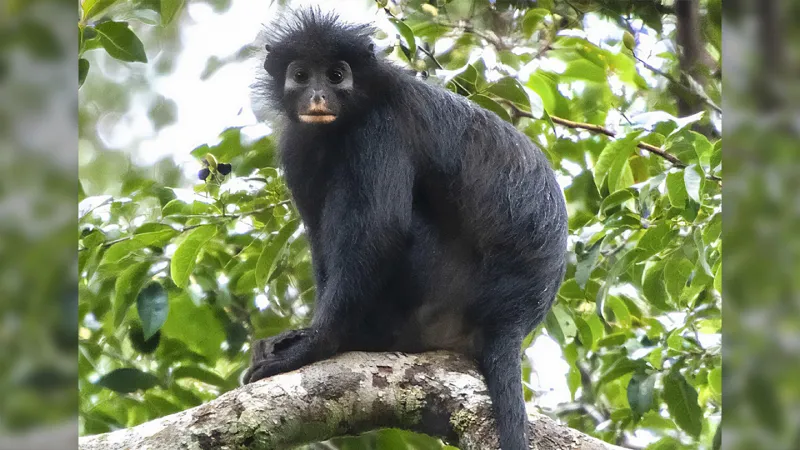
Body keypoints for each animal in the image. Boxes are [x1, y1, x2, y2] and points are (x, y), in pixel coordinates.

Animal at [244, 9, 568, 450]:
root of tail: (513, 318)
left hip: (440, 289)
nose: (317, 97)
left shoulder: (380, 128)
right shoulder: (298, 144)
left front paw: (316, 345)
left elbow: (382, 229)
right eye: (300, 75)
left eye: (336, 75)